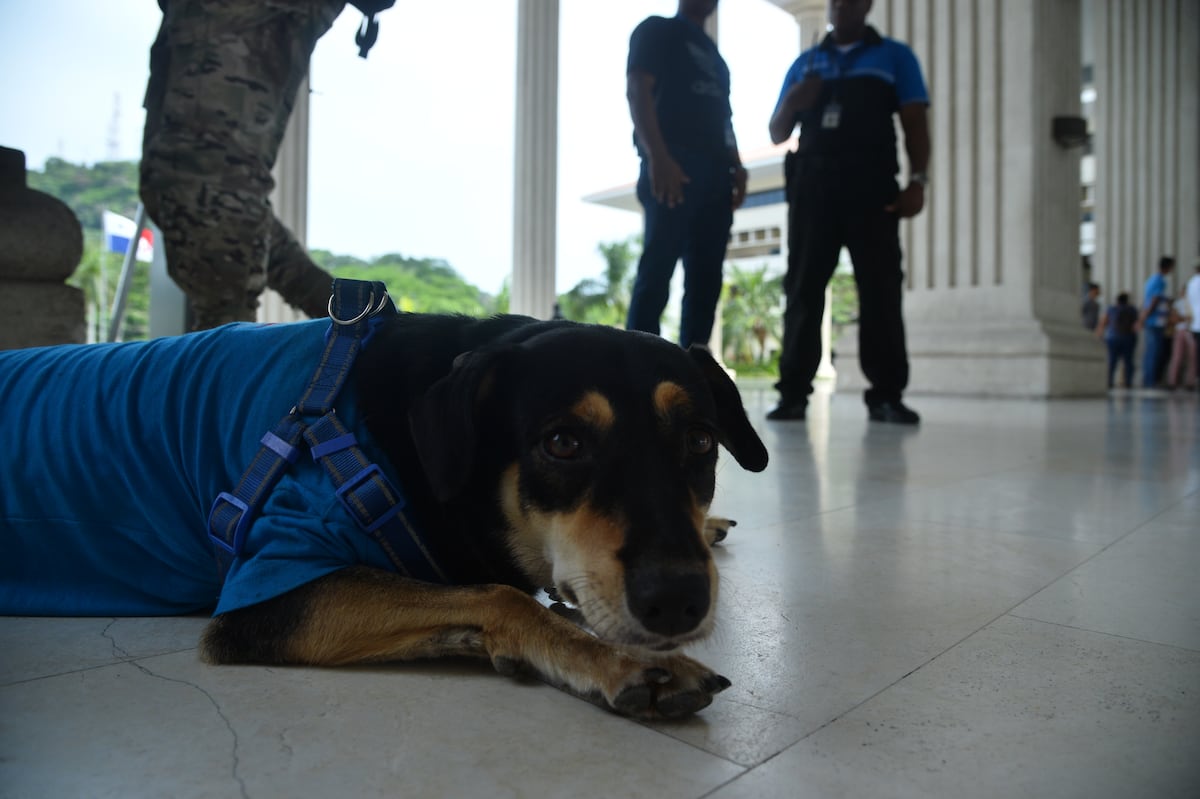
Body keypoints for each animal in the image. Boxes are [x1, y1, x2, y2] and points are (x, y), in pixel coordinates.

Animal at [0, 302, 763, 719]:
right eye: (562, 443)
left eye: (701, 440)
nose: (680, 600)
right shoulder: (274, 582)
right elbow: (501, 595)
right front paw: (613, 659)